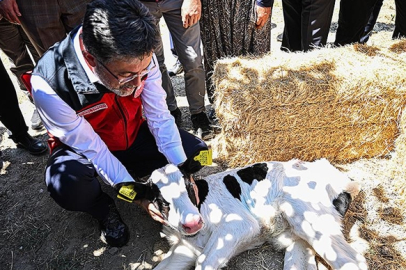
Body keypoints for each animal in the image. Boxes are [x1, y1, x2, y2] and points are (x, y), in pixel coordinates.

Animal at [149, 158, 368, 270]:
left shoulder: (238, 224)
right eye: (160, 199)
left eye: (188, 187)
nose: (192, 223)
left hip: (310, 218)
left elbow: (204, 262)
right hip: (298, 234)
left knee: (352, 261)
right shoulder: (184, 250)